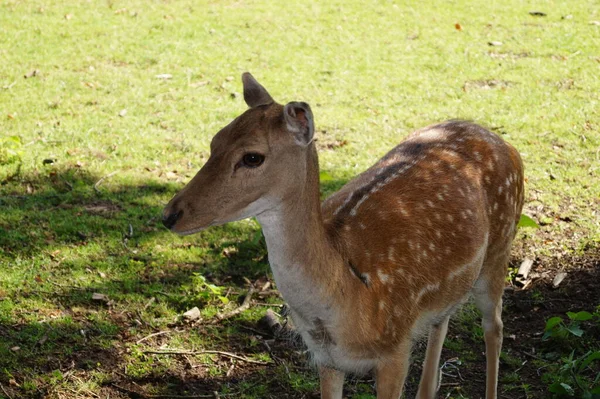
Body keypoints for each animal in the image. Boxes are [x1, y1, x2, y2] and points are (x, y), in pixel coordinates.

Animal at [164, 73, 524, 398]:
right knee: (443, 320)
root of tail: (504, 142)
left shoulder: (396, 348)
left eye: (252, 157)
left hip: (501, 247)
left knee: (495, 327)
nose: (170, 214)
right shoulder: (326, 358)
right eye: (214, 141)